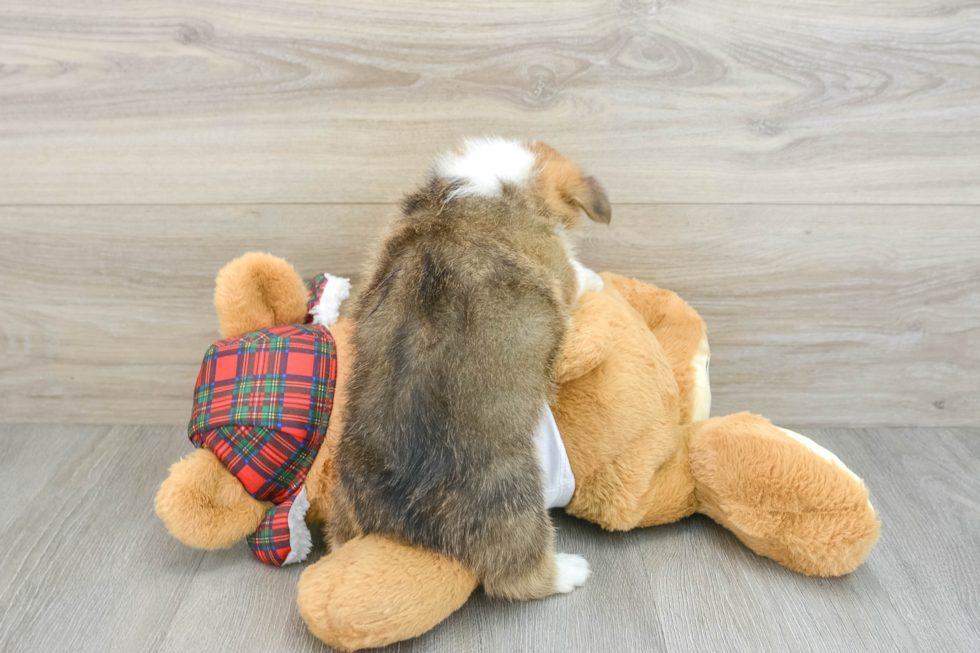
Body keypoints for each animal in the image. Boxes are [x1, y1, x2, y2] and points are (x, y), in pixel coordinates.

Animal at [334, 140, 608, 600]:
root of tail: (397, 522)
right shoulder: (560, 267)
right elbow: (575, 272)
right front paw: (595, 277)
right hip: (515, 499)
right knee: (519, 575)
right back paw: (568, 571)